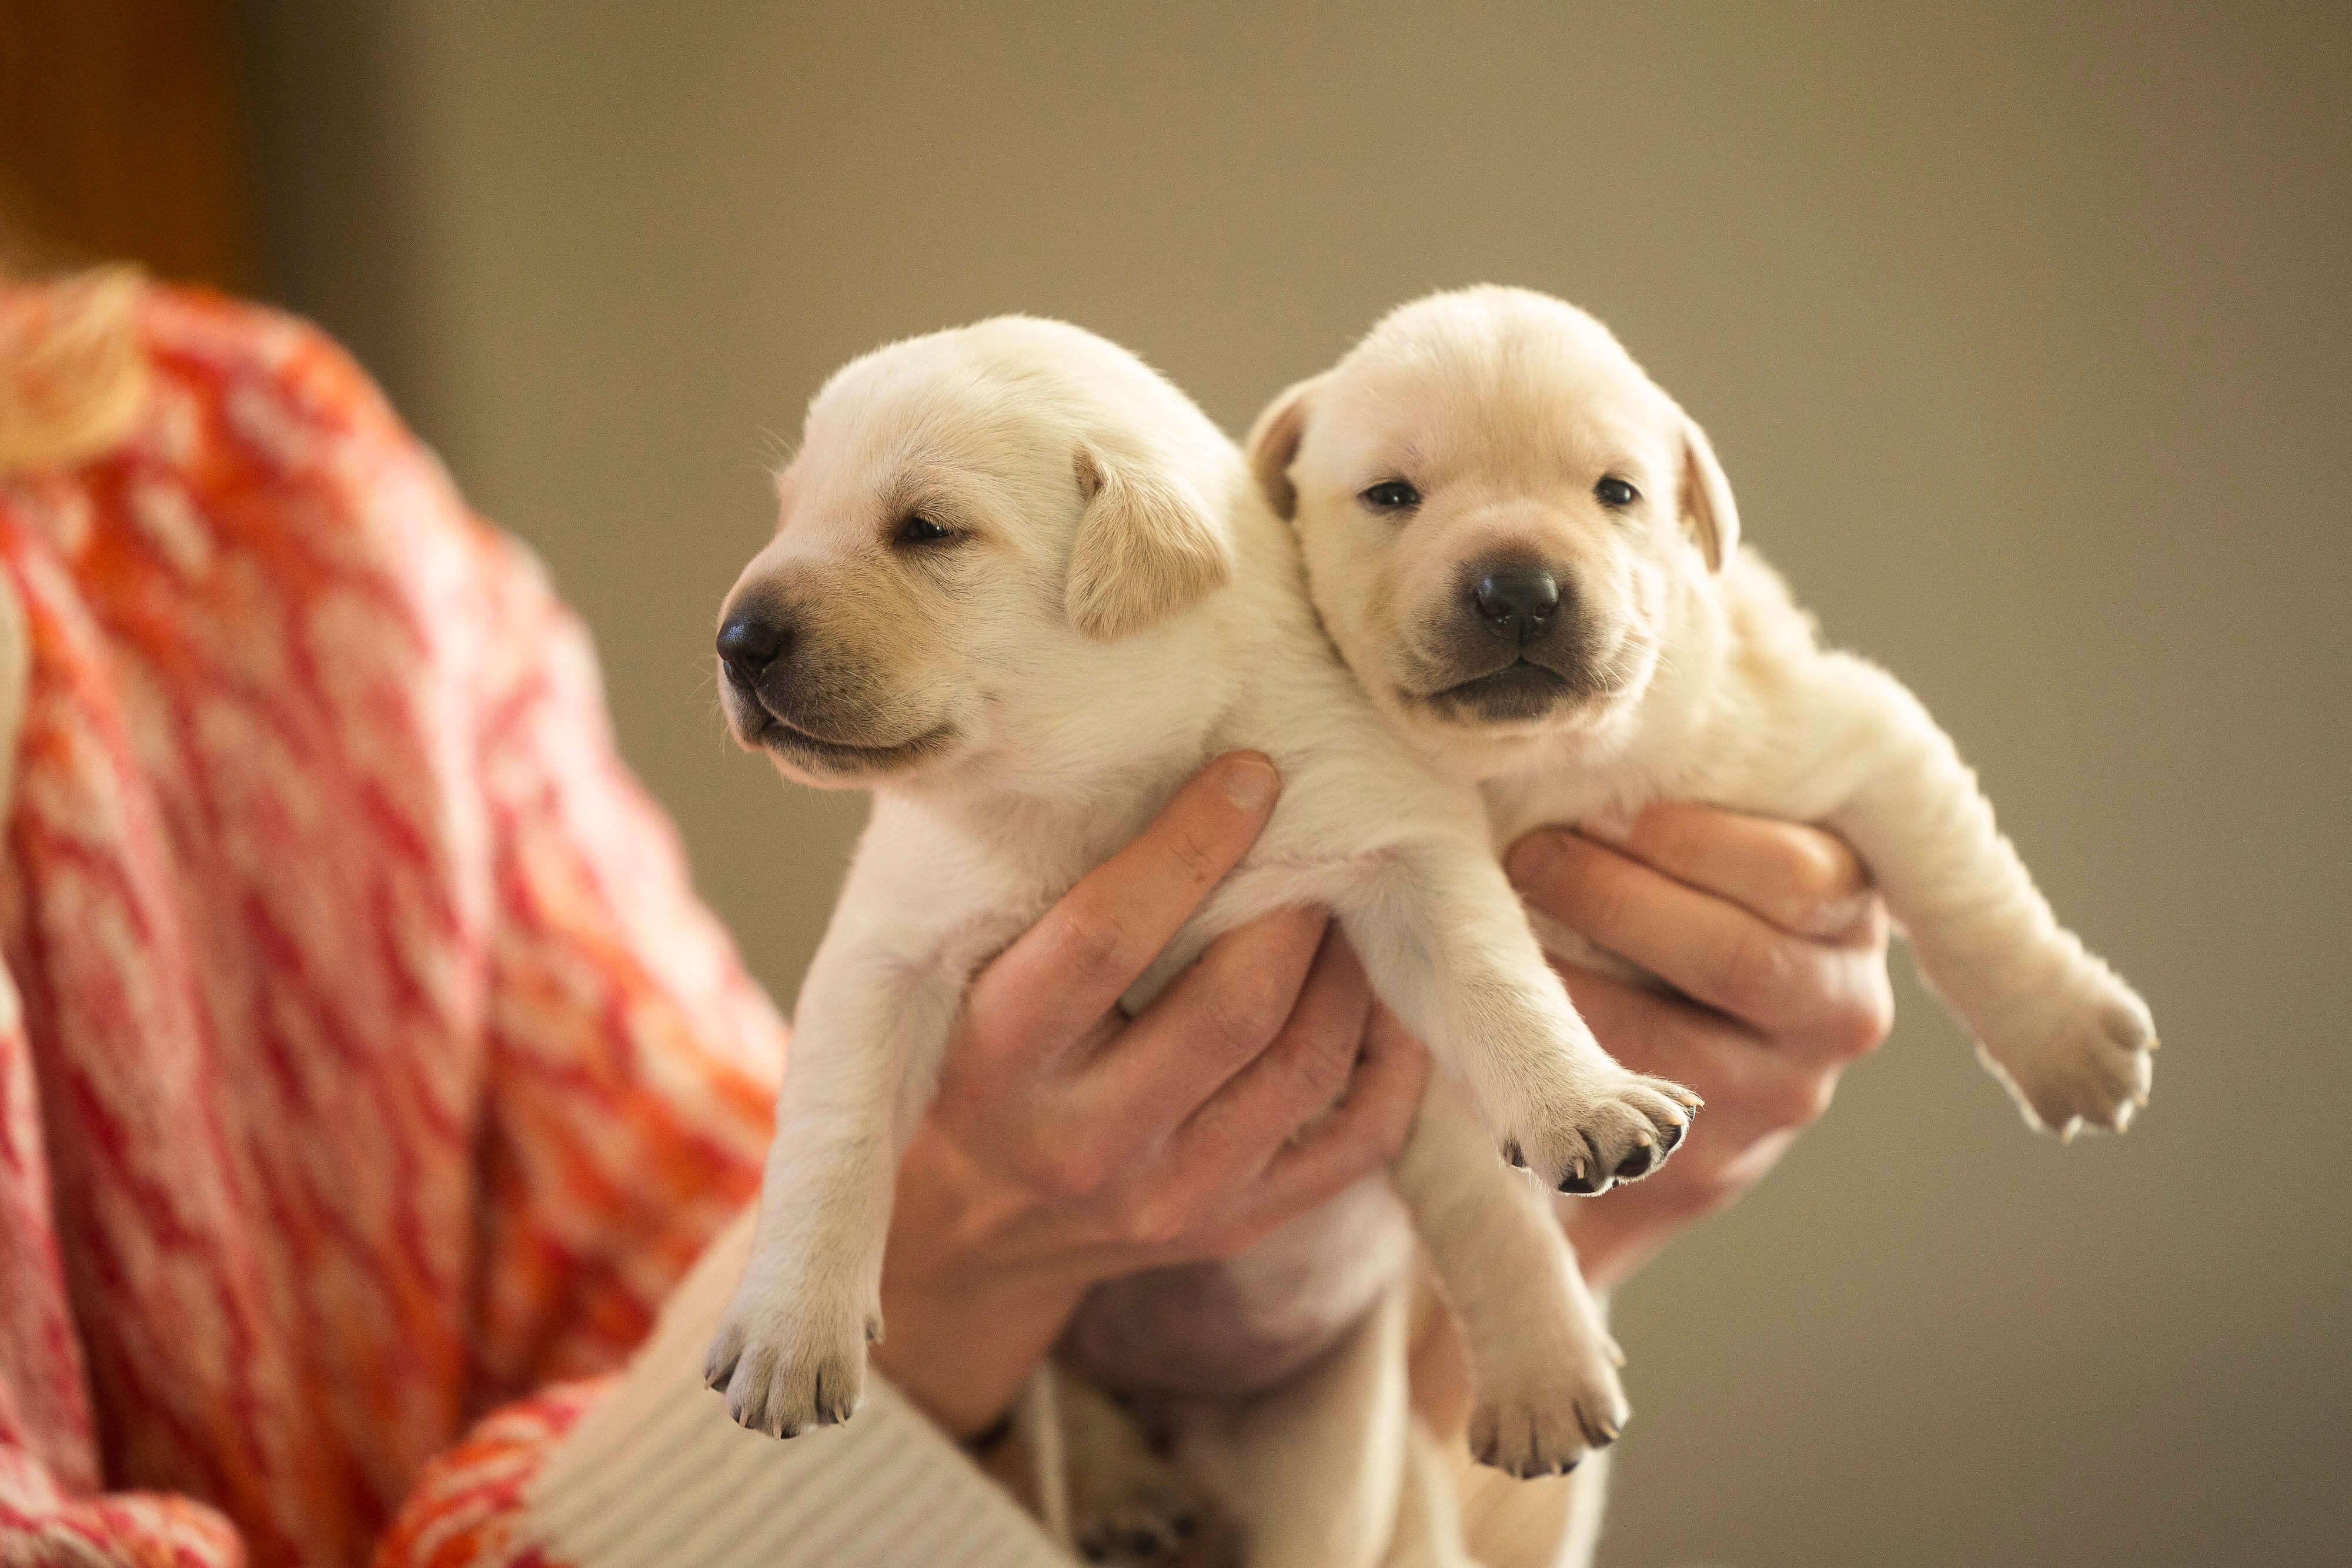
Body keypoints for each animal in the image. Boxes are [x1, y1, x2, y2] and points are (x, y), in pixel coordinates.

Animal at [706, 312, 1703, 1552]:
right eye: (791, 509)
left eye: (926, 528)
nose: (733, 638)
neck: (1102, 782)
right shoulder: (887, 946)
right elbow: (830, 1135)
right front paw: (788, 1327)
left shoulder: (1391, 842)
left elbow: (1497, 990)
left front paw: (1587, 1098)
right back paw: (1123, 1491)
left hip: (1329, 1449)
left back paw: (1540, 1373)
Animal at [1261, 287, 2154, 1161]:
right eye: (1390, 494)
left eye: (1617, 491)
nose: (1518, 592)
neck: (1528, 760)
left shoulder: (1848, 729)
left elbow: (1962, 892)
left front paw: (2065, 1038)